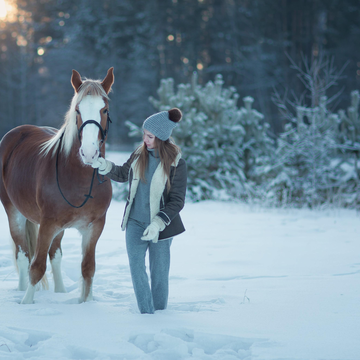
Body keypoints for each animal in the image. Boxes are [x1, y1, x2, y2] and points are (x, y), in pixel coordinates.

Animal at [0, 67, 114, 304]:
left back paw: (60, 292)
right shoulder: (47, 225)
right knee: (23, 255)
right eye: (77, 109)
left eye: (105, 109)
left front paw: (86, 304)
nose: (89, 153)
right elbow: (36, 267)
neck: (79, 181)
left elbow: (88, 269)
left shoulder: (95, 227)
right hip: (14, 212)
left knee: (56, 256)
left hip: (59, 228)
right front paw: (26, 303)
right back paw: (20, 291)